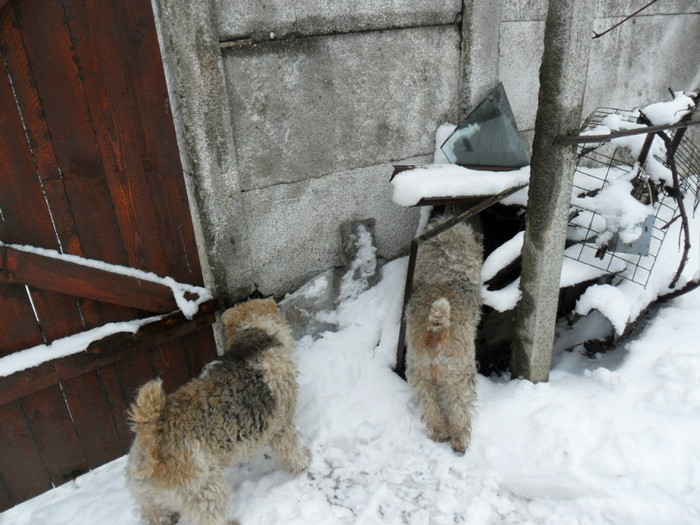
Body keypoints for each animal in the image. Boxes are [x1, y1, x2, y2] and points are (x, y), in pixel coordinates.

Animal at [126, 298, 312, 524]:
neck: (256, 340)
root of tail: (150, 434)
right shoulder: (283, 423)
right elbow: (292, 450)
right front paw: (304, 462)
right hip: (207, 489)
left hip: (149, 499)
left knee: (155, 514)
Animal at [402, 215, 484, 452]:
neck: (445, 266)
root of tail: (436, 330)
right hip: (460, 375)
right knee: (459, 411)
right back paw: (459, 441)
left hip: (419, 372)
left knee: (430, 407)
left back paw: (439, 433)